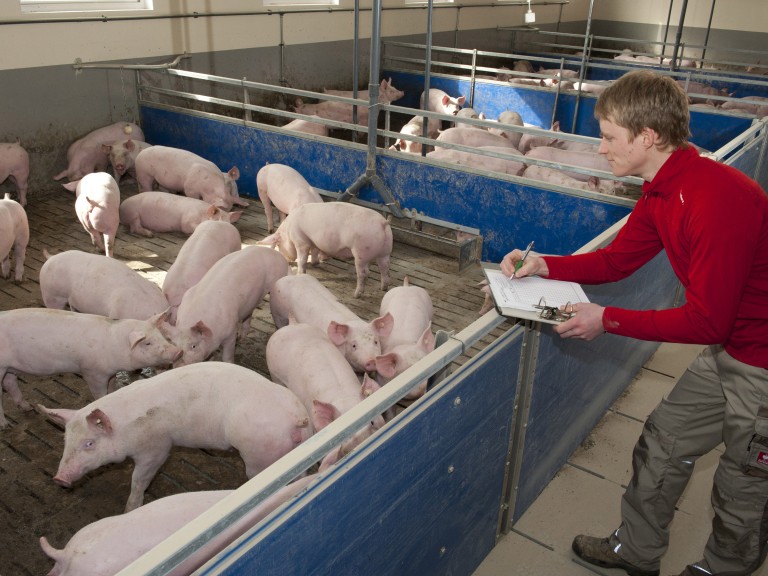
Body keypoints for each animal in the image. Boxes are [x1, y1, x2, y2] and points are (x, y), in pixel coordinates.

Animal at [0, 308, 182, 426]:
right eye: (147, 342)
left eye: (161, 335)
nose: (178, 351)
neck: (115, 345)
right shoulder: (93, 373)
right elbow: (99, 394)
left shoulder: (110, 373)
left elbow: (112, 387)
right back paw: (5, 425)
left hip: (9, 367)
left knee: (10, 383)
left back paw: (28, 408)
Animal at [39, 362, 312, 510]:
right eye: (66, 441)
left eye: (89, 443)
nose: (59, 478)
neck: (126, 428)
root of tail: (298, 418)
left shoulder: (156, 447)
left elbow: (139, 480)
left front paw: (129, 509)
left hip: (260, 453)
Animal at [260, 201, 392, 296]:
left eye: (278, 245)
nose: (287, 260)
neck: (288, 231)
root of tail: (383, 222)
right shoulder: (313, 241)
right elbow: (314, 251)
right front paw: (315, 263)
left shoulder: (301, 241)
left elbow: (302, 259)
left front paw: (299, 274)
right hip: (385, 251)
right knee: (384, 269)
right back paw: (383, 288)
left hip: (361, 251)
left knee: (363, 273)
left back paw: (356, 295)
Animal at [268, 322, 384, 470]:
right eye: (341, 435)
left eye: (372, 422)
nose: (355, 443)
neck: (345, 399)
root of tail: (292, 324)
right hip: (274, 373)